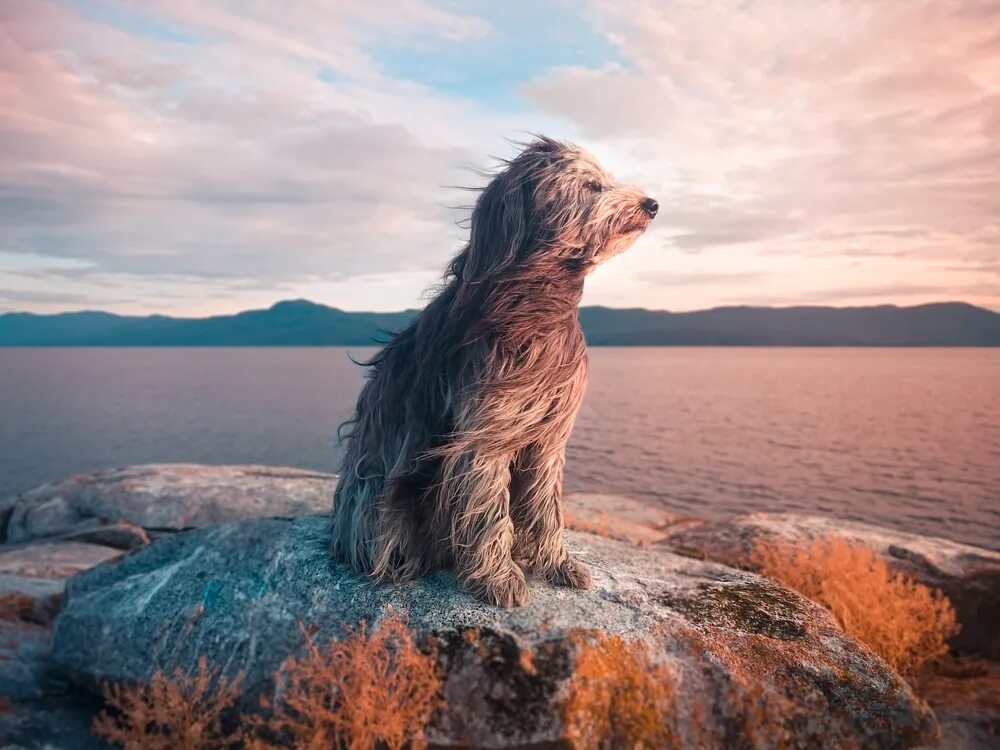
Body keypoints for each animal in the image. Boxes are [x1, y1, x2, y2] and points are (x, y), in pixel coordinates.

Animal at [332, 138, 660, 608]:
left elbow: (546, 507)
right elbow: (487, 506)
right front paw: (497, 578)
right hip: (380, 501)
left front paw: (557, 565)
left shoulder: (547, 437)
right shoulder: (484, 433)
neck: (535, 301)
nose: (652, 204)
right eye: (593, 185)